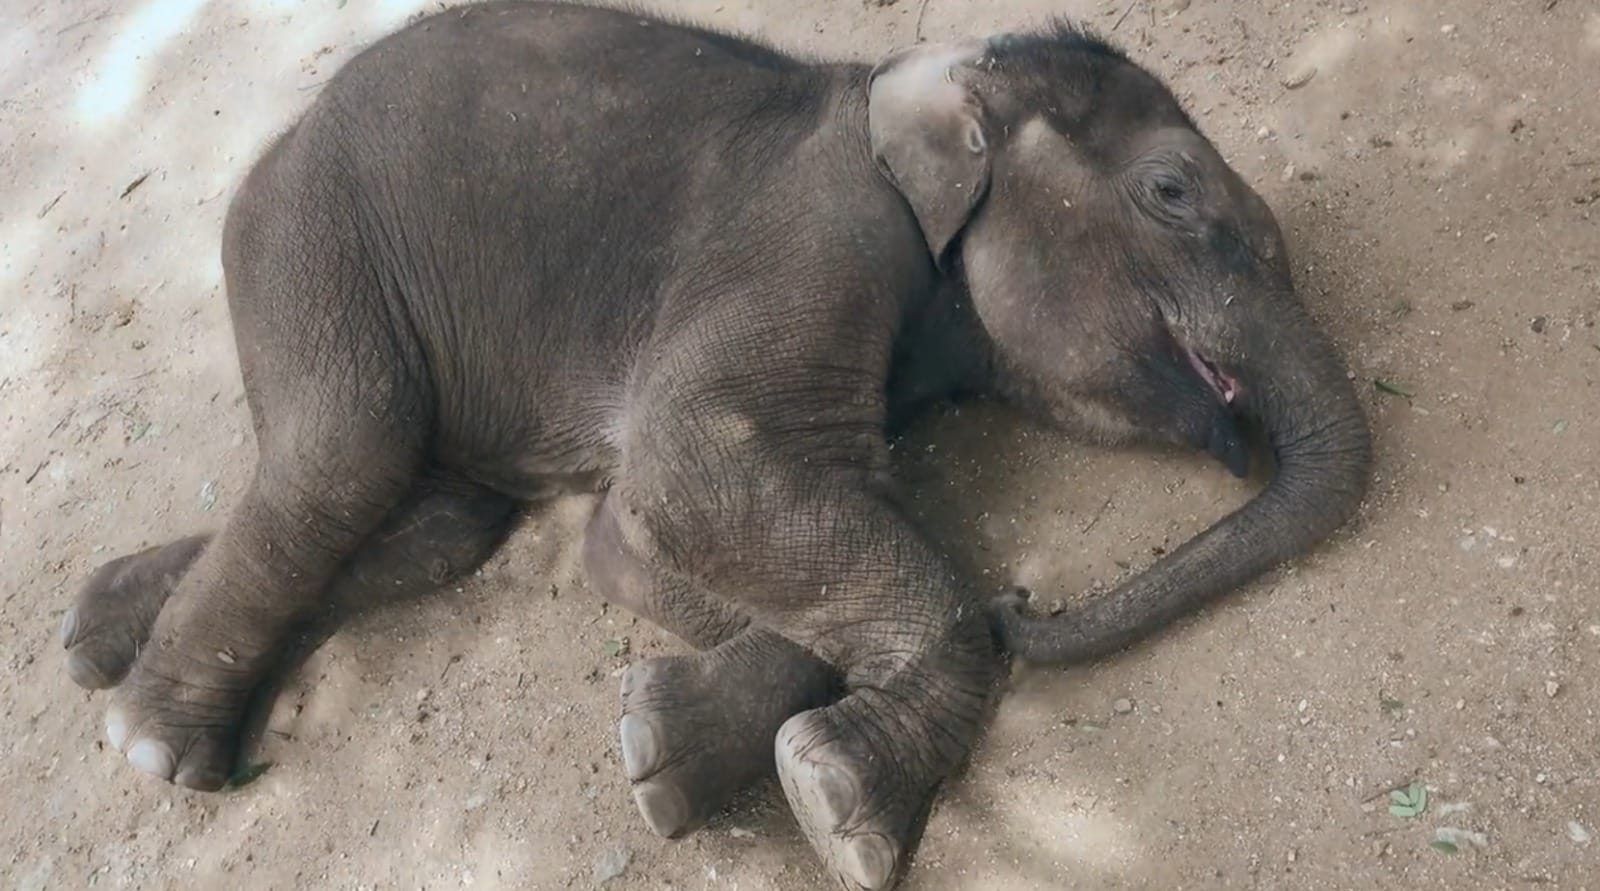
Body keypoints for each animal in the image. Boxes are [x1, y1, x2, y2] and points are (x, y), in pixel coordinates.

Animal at [57, 2, 1372, 888]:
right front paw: (843, 812)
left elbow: (640, 535)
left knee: (435, 516)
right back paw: (152, 744)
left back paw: (93, 632)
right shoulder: (818, 231)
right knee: (343, 450)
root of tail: (277, 145)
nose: (1025, 597)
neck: (921, 81)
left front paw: (662, 751)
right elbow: (691, 474)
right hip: (310, 230)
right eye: (1170, 194)